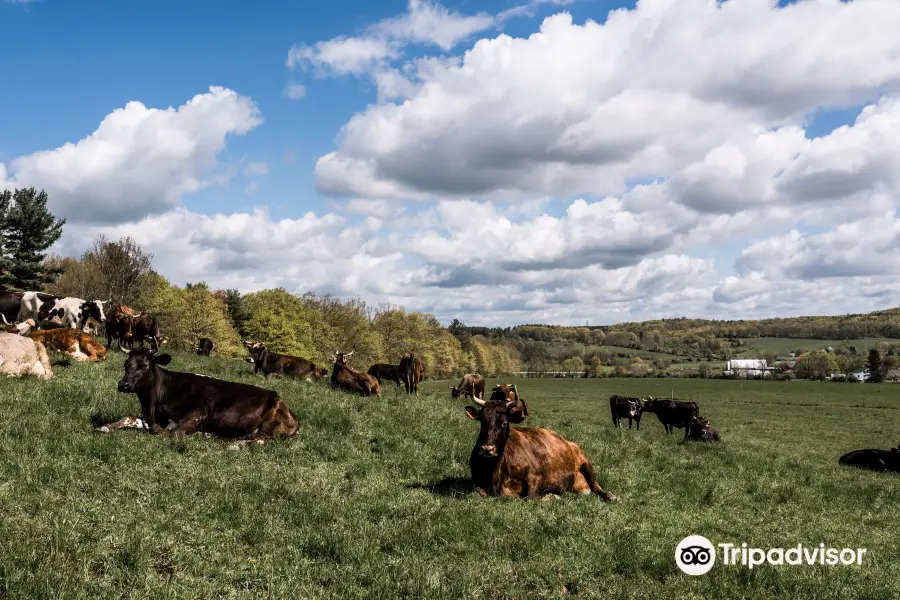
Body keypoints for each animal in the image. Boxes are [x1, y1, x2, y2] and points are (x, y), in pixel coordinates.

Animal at [96, 344, 298, 448]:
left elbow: (173, 434)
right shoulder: (149, 417)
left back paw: (235, 445)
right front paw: (105, 426)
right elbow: (128, 418)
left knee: (261, 440)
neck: (154, 402)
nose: (123, 385)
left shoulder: (197, 414)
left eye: (144, 365)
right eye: (126, 364)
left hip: (270, 421)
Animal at [464, 394, 620, 502]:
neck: (496, 470)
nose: (487, 449)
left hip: (586, 463)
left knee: (596, 487)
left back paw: (611, 496)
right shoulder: (477, 481)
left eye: (504, 423)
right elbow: (480, 491)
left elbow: (531, 497)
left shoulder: (536, 477)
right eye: (482, 421)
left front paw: (552, 496)